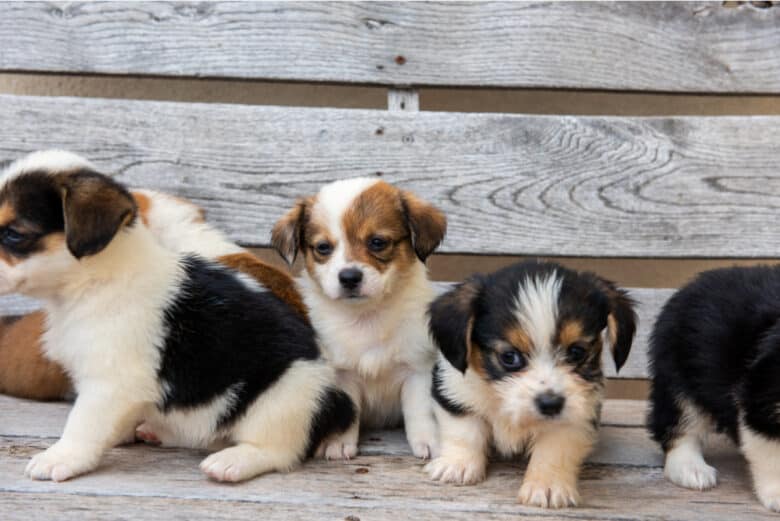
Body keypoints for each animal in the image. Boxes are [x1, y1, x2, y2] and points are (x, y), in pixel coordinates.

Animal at [272, 179, 444, 460]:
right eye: (323, 248)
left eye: (377, 242)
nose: (349, 277)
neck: (367, 316)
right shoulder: (342, 375)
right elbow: (350, 411)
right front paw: (339, 442)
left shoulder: (417, 369)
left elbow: (420, 411)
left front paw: (428, 440)